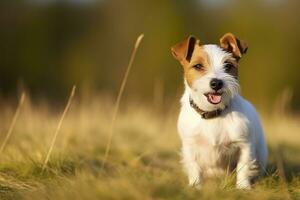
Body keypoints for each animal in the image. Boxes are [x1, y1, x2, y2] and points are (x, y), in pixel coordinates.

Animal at [171, 32, 268, 189]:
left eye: (228, 65)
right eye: (198, 66)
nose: (216, 83)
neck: (213, 113)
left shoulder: (244, 145)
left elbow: (243, 167)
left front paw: (243, 188)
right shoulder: (190, 147)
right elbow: (194, 168)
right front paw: (196, 187)